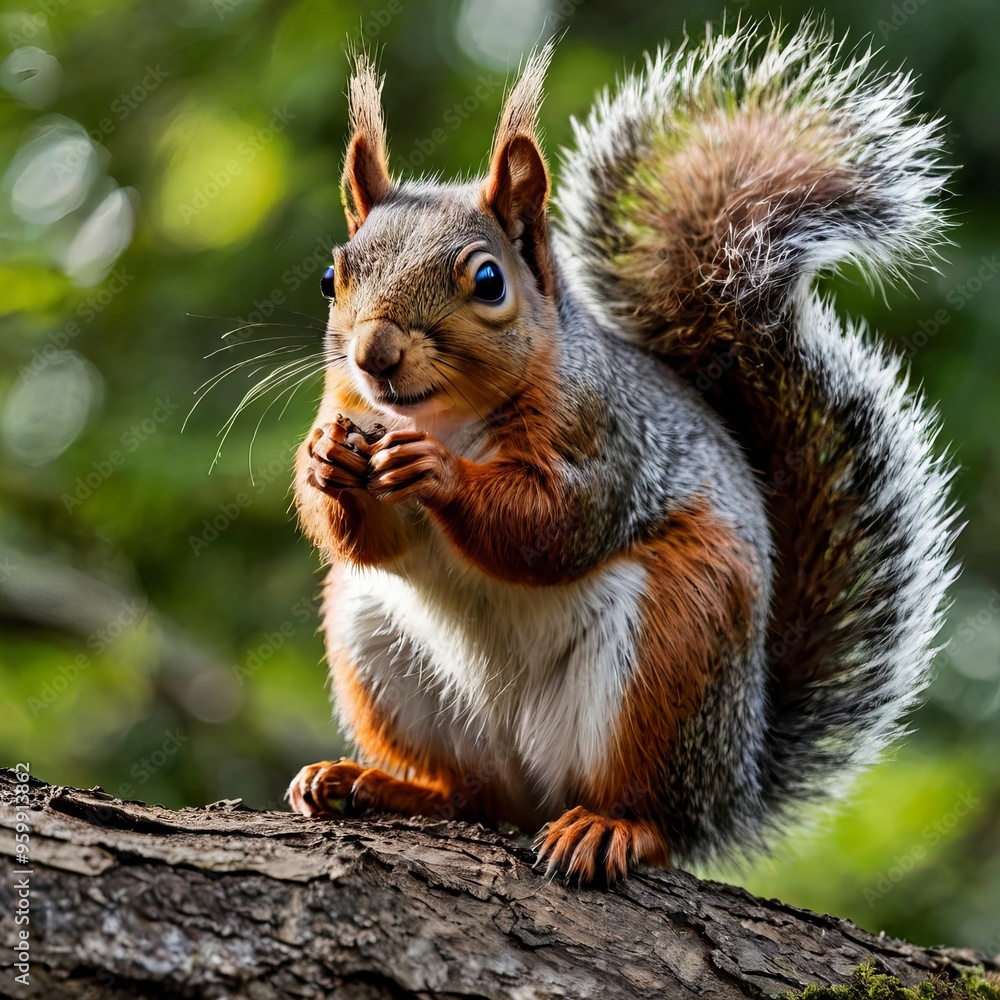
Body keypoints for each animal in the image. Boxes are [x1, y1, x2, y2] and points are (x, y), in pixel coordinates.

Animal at [286, 20, 958, 885]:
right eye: (332, 275)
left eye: (488, 281)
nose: (374, 355)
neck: (445, 418)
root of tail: (733, 781)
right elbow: (371, 540)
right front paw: (322, 464)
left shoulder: (606, 438)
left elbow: (552, 526)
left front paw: (441, 475)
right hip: (373, 634)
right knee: (468, 793)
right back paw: (377, 784)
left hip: (670, 650)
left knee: (650, 807)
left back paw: (612, 828)